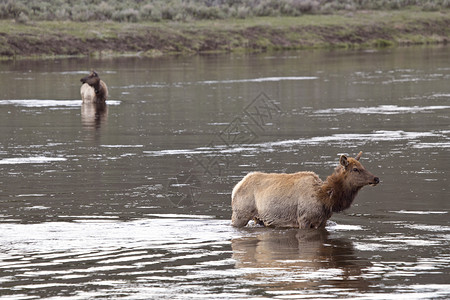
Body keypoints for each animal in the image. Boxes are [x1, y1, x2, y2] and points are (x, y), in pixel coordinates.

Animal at [230, 151, 378, 229]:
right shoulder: (304, 219)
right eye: (355, 169)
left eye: (362, 166)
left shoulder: (323, 221)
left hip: (260, 218)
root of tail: (236, 187)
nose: (376, 178)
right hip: (240, 214)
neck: (325, 199)